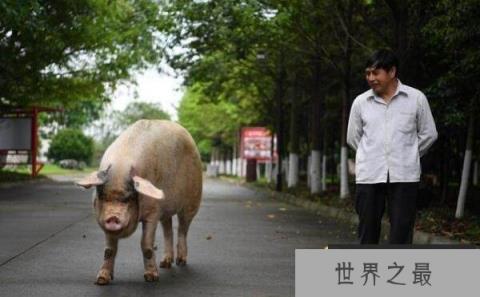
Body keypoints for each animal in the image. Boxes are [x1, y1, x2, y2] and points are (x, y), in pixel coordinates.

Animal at [76, 119, 202, 284]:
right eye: (103, 196)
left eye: (129, 198)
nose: (113, 218)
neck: (120, 169)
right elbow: (109, 250)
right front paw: (102, 280)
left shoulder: (153, 212)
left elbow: (146, 245)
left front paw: (151, 278)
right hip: (165, 210)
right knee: (168, 229)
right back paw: (165, 264)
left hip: (192, 200)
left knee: (182, 228)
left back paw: (181, 262)